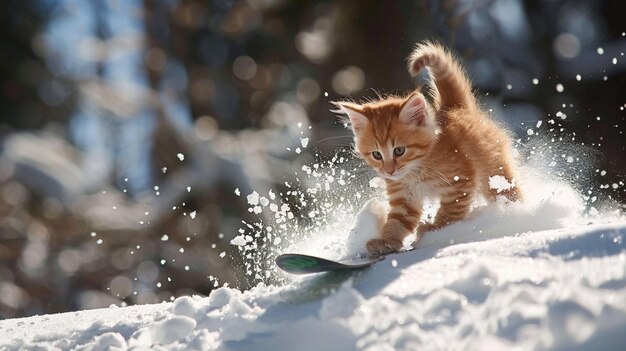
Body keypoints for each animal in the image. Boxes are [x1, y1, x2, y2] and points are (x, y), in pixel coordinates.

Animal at [334, 42, 520, 256]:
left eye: (399, 151)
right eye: (376, 155)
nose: (389, 171)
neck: (417, 169)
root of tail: (455, 108)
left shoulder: (460, 181)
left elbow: (450, 212)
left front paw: (435, 230)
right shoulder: (404, 195)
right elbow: (398, 220)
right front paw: (387, 241)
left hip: (494, 170)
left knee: (507, 189)